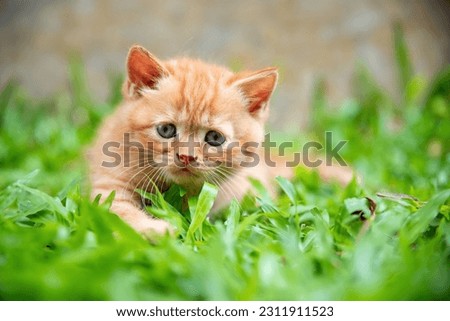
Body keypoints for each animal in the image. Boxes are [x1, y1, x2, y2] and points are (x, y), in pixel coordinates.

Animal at [89, 45, 282, 234]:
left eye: (215, 137)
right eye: (166, 130)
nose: (186, 157)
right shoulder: (110, 183)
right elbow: (117, 212)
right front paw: (153, 228)